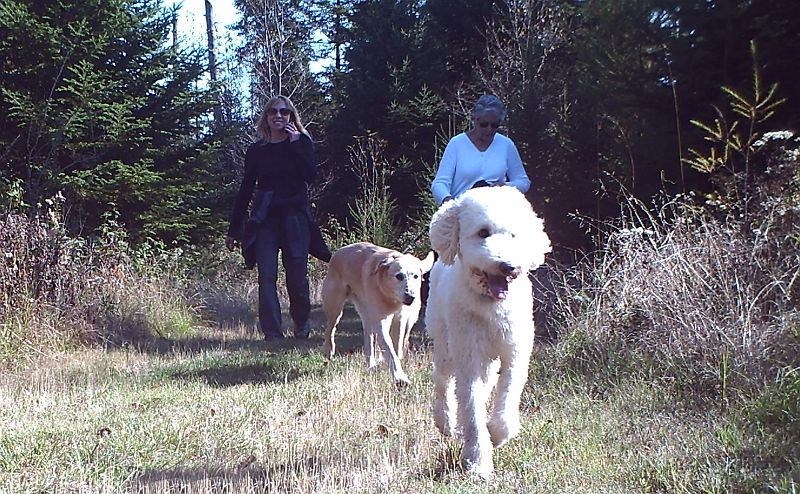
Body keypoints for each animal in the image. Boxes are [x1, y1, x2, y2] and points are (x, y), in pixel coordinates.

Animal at [318, 241, 434, 384]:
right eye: (399, 276)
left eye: (416, 276)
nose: (410, 296)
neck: (389, 296)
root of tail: (338, 253)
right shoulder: (380, 321)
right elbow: (390, 350)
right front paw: (400, 378)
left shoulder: (400, 319)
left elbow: (396, 346)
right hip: (335, 307)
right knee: (331, 328)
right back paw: (328, 350)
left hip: (375, 316)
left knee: (370, 337)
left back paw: (372, 365)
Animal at [424, 184, 552, 474]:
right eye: (483, 232)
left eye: (514, 234)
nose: (508, 266)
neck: (491, 308)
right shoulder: (469, 357)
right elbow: (471, 406)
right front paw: (477, 461)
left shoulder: (515, 352)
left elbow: (508, 393)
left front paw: (498, 433)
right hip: (445, 343)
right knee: (443, 381)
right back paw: (445, 420)